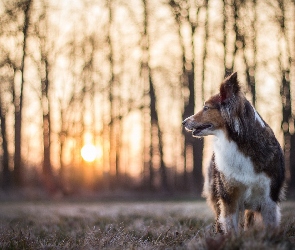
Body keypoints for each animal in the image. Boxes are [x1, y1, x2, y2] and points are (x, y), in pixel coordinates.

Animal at [183, 73, 286, 234]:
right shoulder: (229, 196)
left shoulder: (269, 198)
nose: (183, 122)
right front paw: (232, 238)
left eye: (206, 108)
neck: (239, 143)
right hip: (215, 192)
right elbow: (231, 225)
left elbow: (270, 224)